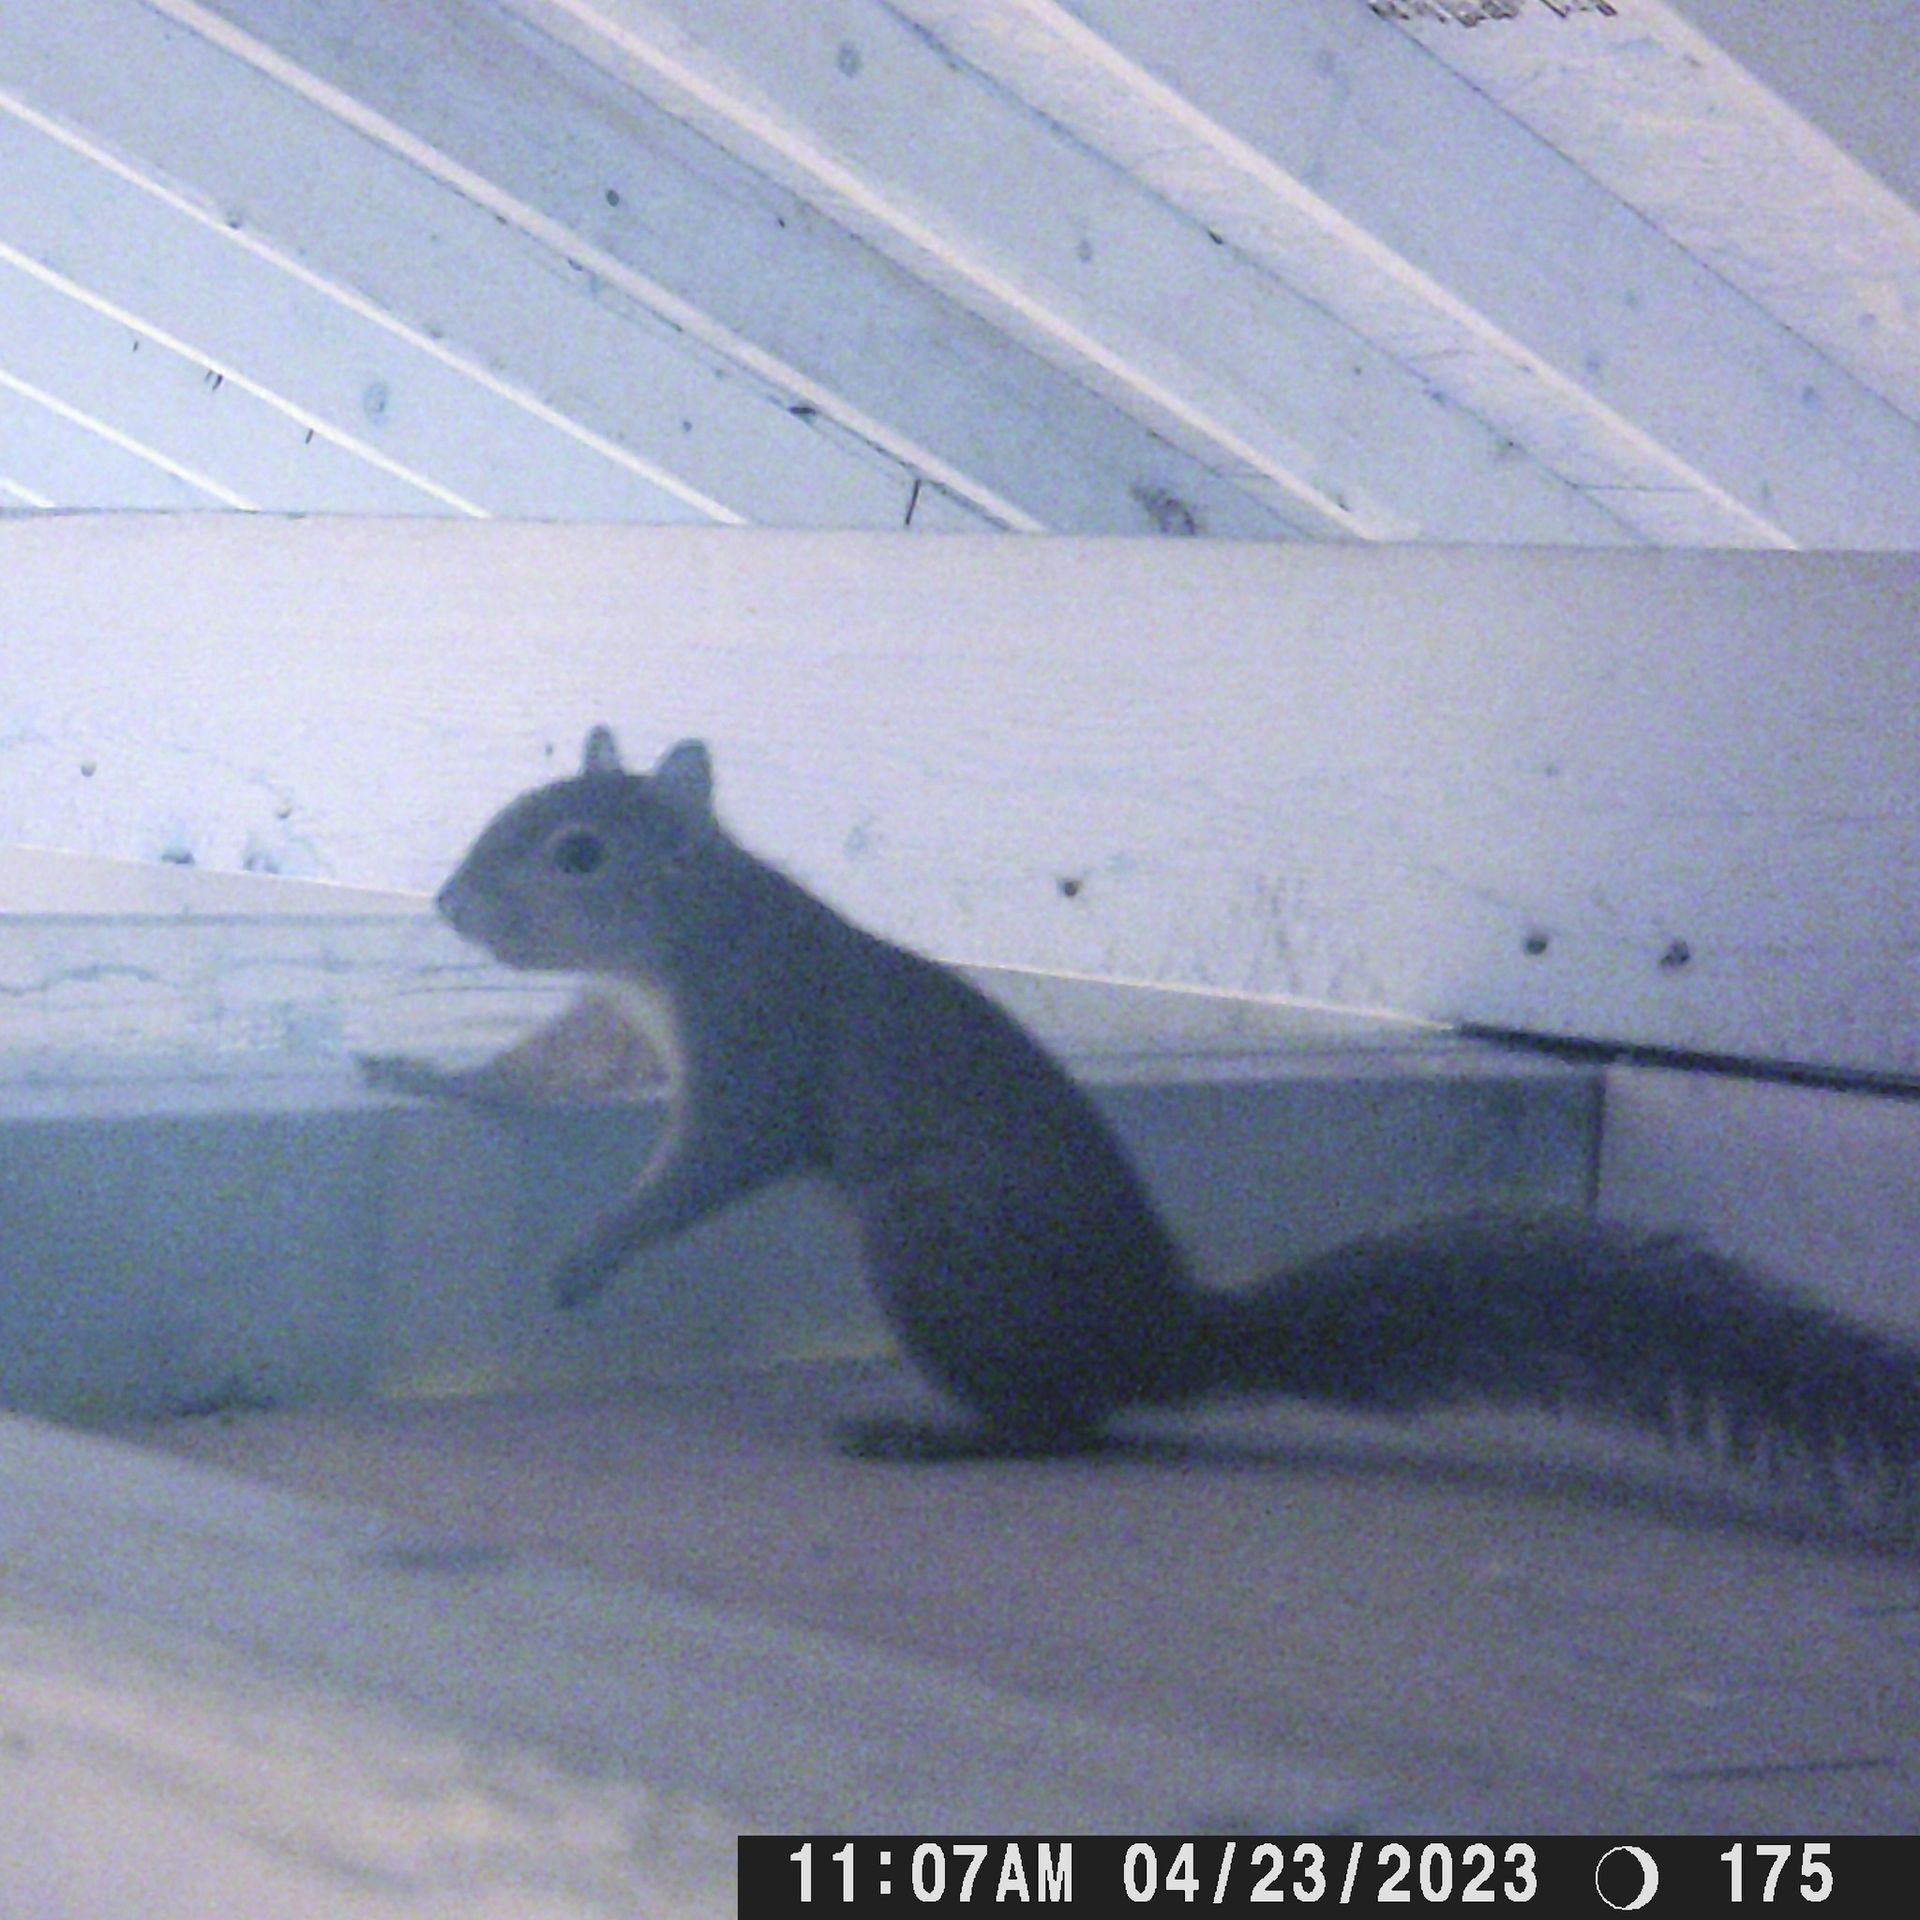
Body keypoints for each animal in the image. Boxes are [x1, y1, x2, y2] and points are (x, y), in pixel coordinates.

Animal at [361, 728, 1920, 1513]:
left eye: (578, 850)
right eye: (513, 807)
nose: (448, 903)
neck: (682, 940)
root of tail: (1154, 1328)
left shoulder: (759, 1047)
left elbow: (704, 1167)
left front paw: (594, 1249)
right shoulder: (617, 1026)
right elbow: (537, 1072)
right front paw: (433, 1080)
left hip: (937, 1242)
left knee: (1068, 1426)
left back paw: (943, 1438)